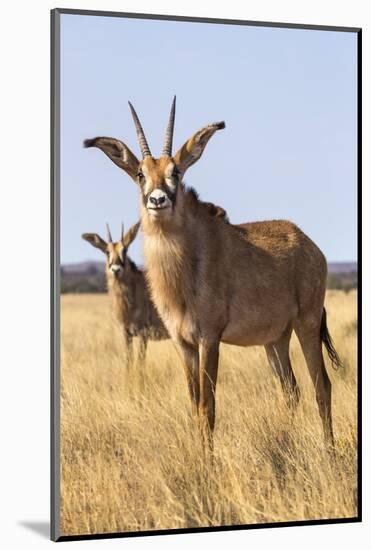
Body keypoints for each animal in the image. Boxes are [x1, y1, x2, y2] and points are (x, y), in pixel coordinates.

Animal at [84, 96, 342, 448]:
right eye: (139, 173)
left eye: (176, 171)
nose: (157, 200)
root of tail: (310, 244)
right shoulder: (183, 344)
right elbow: (194, 407)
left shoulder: (209, 339)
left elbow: (209, 407)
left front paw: (209, 461)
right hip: (275, 339)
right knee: (291, 390)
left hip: (307, 322)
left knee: (322, 386)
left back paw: (329, 452)